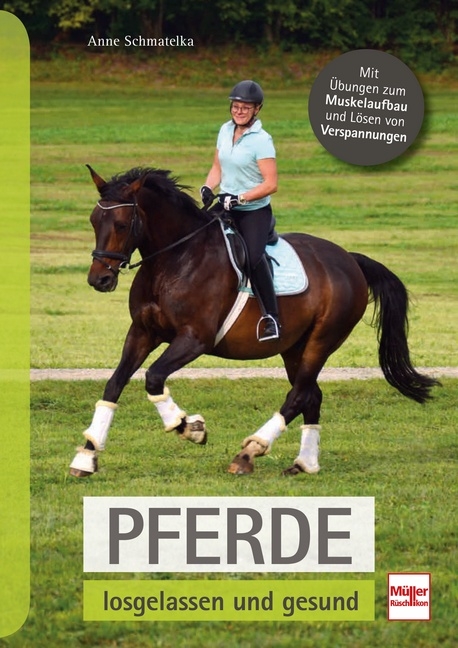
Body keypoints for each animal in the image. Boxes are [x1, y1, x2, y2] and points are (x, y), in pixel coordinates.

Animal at [69, 165, 439, 478]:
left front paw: (190, 427)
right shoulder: (143, 332)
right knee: (311, 395)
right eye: (93, 221)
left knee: (298, 395)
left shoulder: (194, 339)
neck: (175, 260)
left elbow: (154, 378)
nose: (99, 279)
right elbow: (114, 384)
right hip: (294, 348)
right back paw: (304, 463)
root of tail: (349, 259)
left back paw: (249, 452)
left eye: (120, 224)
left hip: (321, 341)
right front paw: (87, 456)